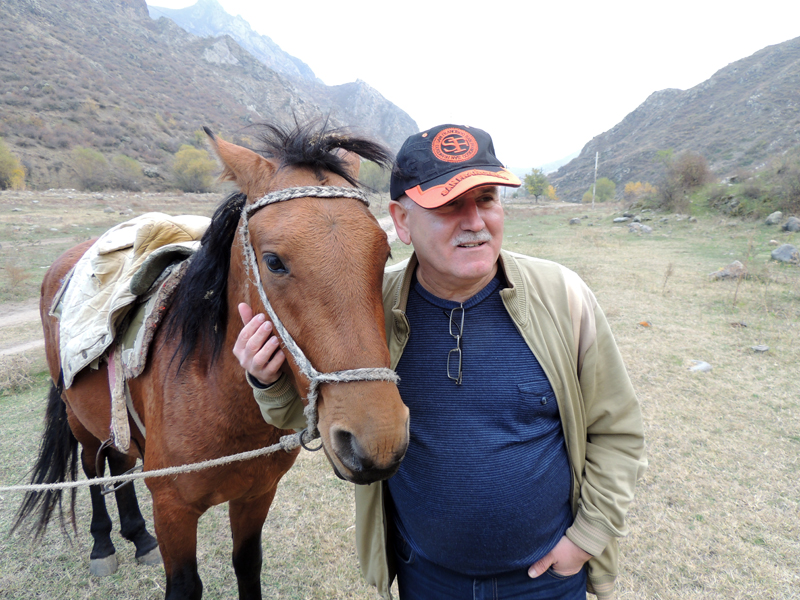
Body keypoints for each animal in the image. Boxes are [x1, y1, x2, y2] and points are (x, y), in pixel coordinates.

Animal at [12, 119, 410, 596]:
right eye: (274, 262)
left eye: (383, 253)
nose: (378, 441)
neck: (215, 394)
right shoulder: (173, 511)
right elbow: (186, 584)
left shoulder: (256, 495)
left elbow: (248, 564)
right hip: (80, 420)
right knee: (94, 468)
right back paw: (103, 545)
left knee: (120, 462)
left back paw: (138, 536)